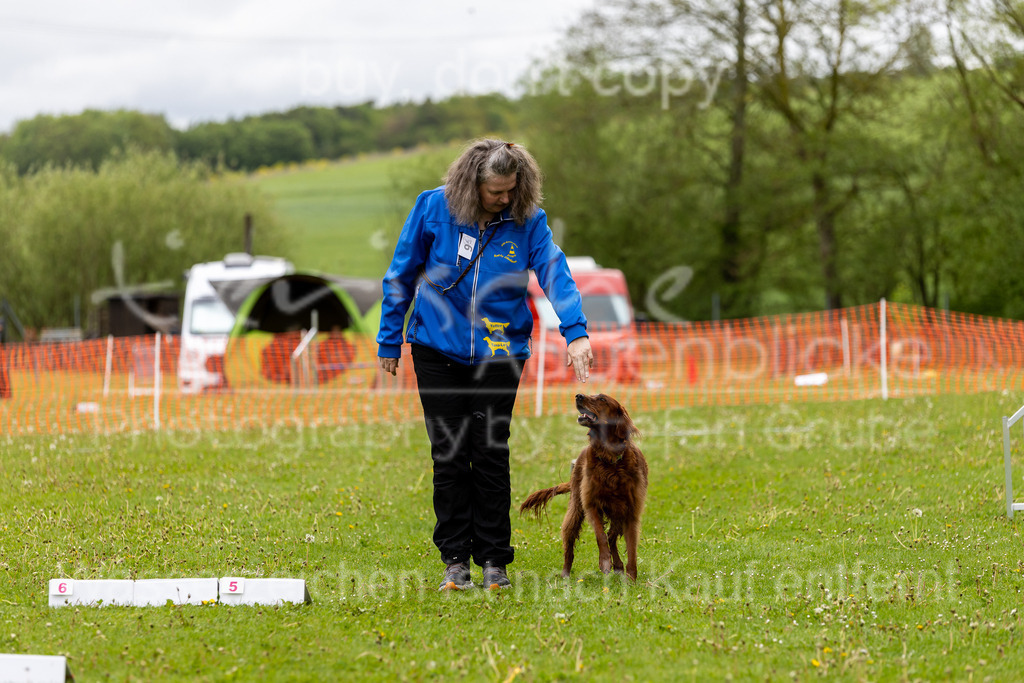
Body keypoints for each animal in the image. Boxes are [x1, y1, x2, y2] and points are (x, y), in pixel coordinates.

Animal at [520, 395, 647, 581]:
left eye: (602, 399)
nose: (578, 395)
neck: (610, 461)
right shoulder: (591, 505)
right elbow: (600, 536)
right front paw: (605, 563)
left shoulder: (631, 511)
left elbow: (631, 548)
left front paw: (631, 578)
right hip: (575, 510)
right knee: (570, 545)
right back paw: (565, 574)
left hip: (617, 514)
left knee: (612, 537)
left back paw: (618, 566)